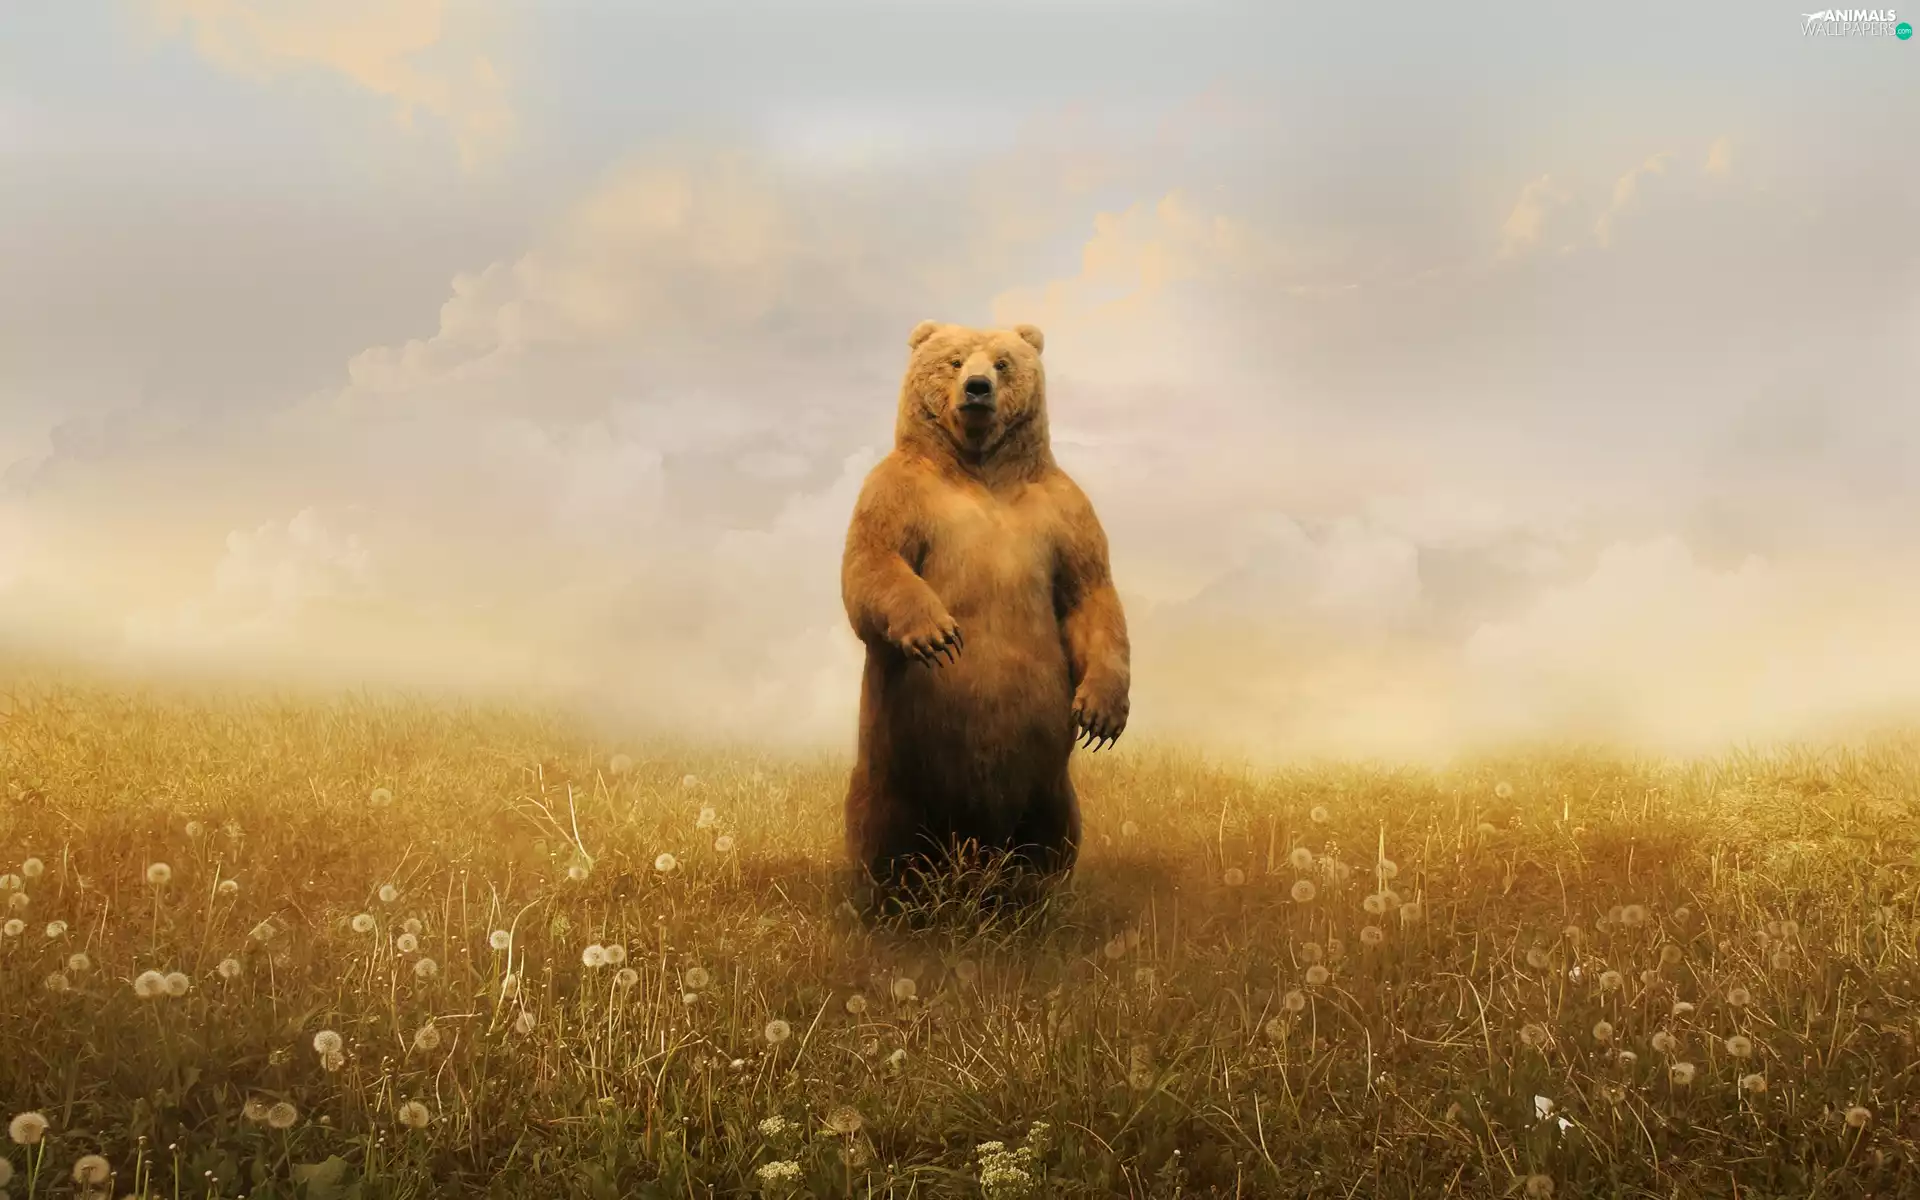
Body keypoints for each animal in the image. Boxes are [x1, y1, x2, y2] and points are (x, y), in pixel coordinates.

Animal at [840, 318, 1131, 907]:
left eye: (1002, 362)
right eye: (953, 360)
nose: (977, 388)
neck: (980, 468)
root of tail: (973, 851)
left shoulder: (1064, 511)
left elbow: (1090, 593)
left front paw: (1101, 715)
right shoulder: (898, 492)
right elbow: (872, 563)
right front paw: (937, 634)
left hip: (1048, 784)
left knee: (1052, 835)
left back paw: (1032, 894)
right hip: (893, 771)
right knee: (883, 833)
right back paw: (892, 899)